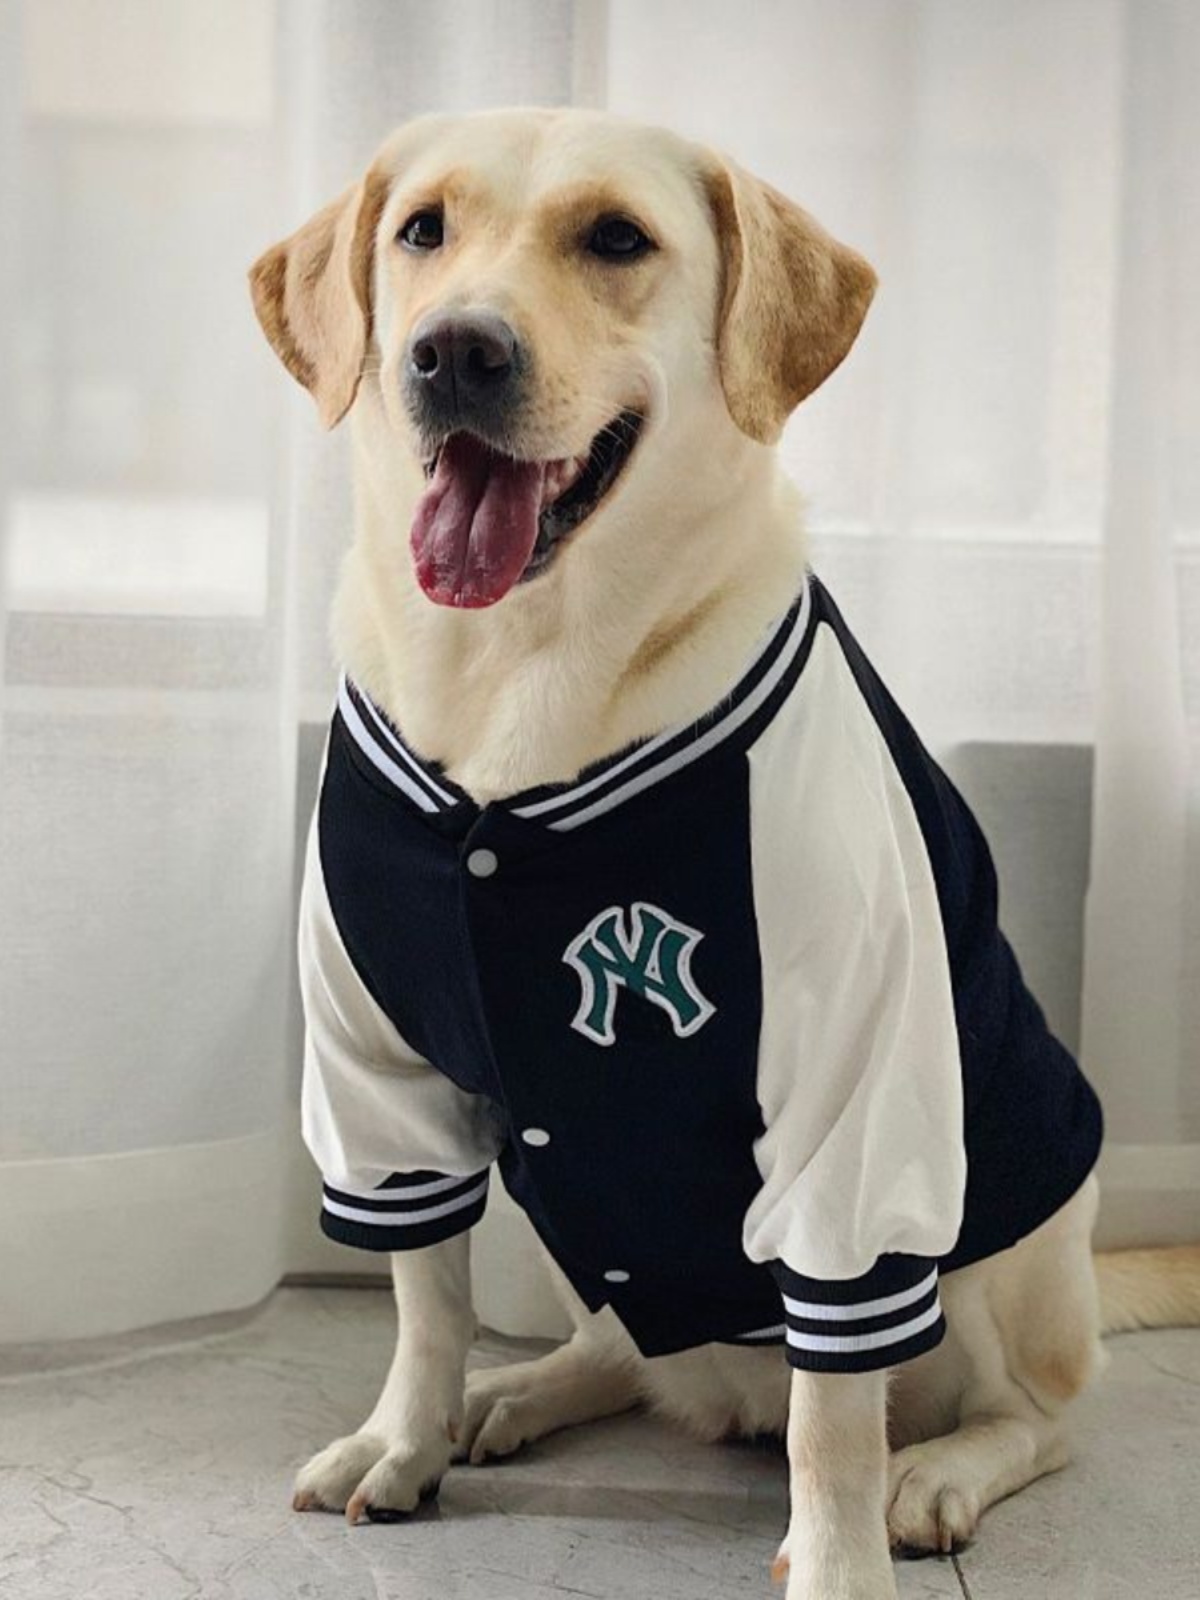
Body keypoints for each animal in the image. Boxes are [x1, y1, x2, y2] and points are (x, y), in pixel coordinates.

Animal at [249, 109, 1200, 1600]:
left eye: (616, 238)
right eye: (421, 231)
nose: (455, 352)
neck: (525, 670)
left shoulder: (851, 1097)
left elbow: (834, 1414)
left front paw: (840, 1563)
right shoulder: (375, 1068)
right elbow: (425, 1298)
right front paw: (404, 1437)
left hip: (1009, 1244)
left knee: (1027, 1414)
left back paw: (937, 1474)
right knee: (625, 1347)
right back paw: (511, 1395)